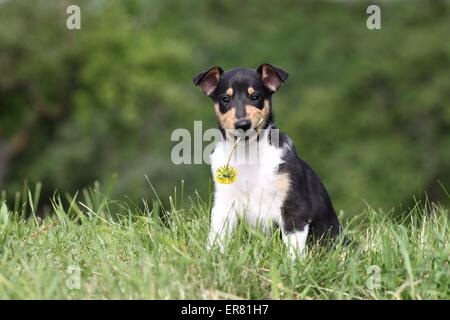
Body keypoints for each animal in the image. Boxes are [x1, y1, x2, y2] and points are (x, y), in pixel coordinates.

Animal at [192, 63, 342, 258]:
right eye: (225, 99)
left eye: (256, 96)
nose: (243, 125)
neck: (247, 154)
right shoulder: (224, 205)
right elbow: (216, 236)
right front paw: (212, 258)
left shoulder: (294, 206)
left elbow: (294, 247)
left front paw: (294, 265)